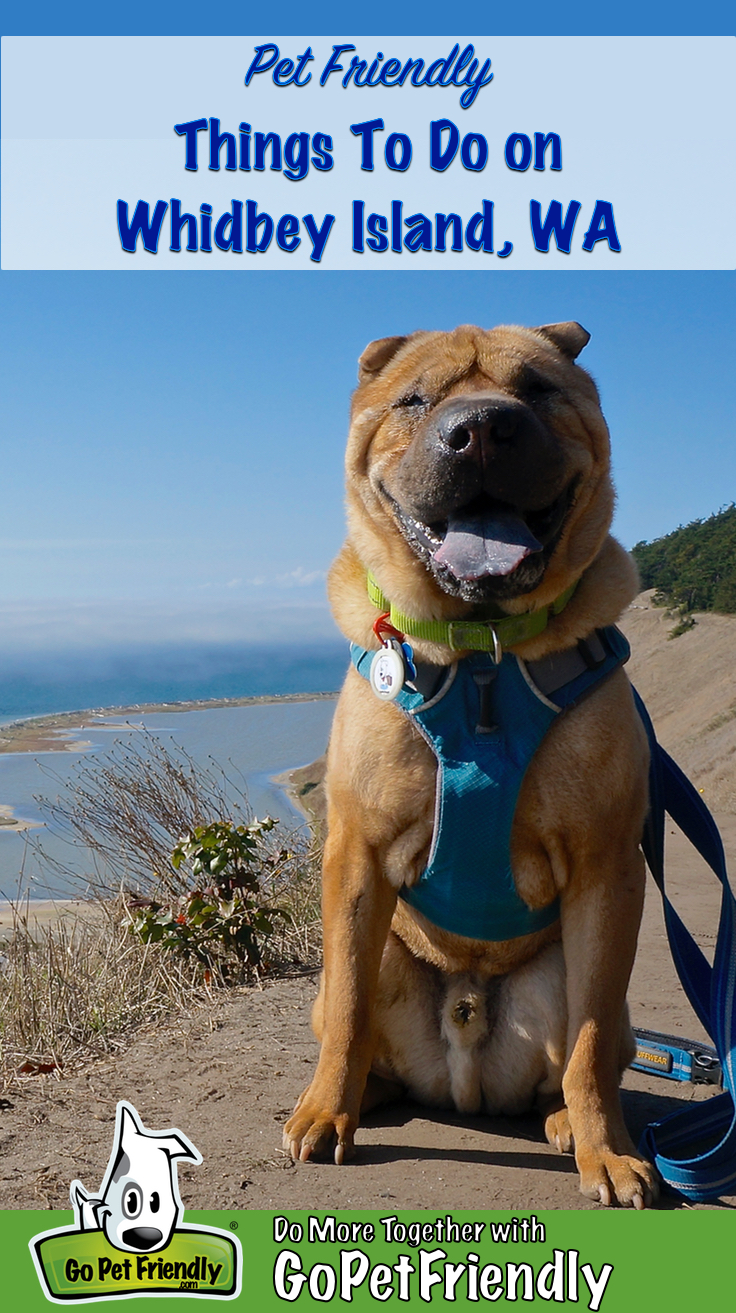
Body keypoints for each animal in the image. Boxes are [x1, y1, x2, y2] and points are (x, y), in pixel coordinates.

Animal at [284, 322, 655, 1202]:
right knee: (353, 1020)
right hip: (381, 950)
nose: (481, 428)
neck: (483, 648)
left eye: (538, 389)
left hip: (580, 974)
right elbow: (348, 1009)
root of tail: (464, 1064)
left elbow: (590, 1043)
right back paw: (358, 1094)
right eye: (415, 400)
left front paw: (607, 1149)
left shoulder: (607, 867)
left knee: (587, 1050)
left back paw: (567, 1123)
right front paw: (325, 1112)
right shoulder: (356, 855)